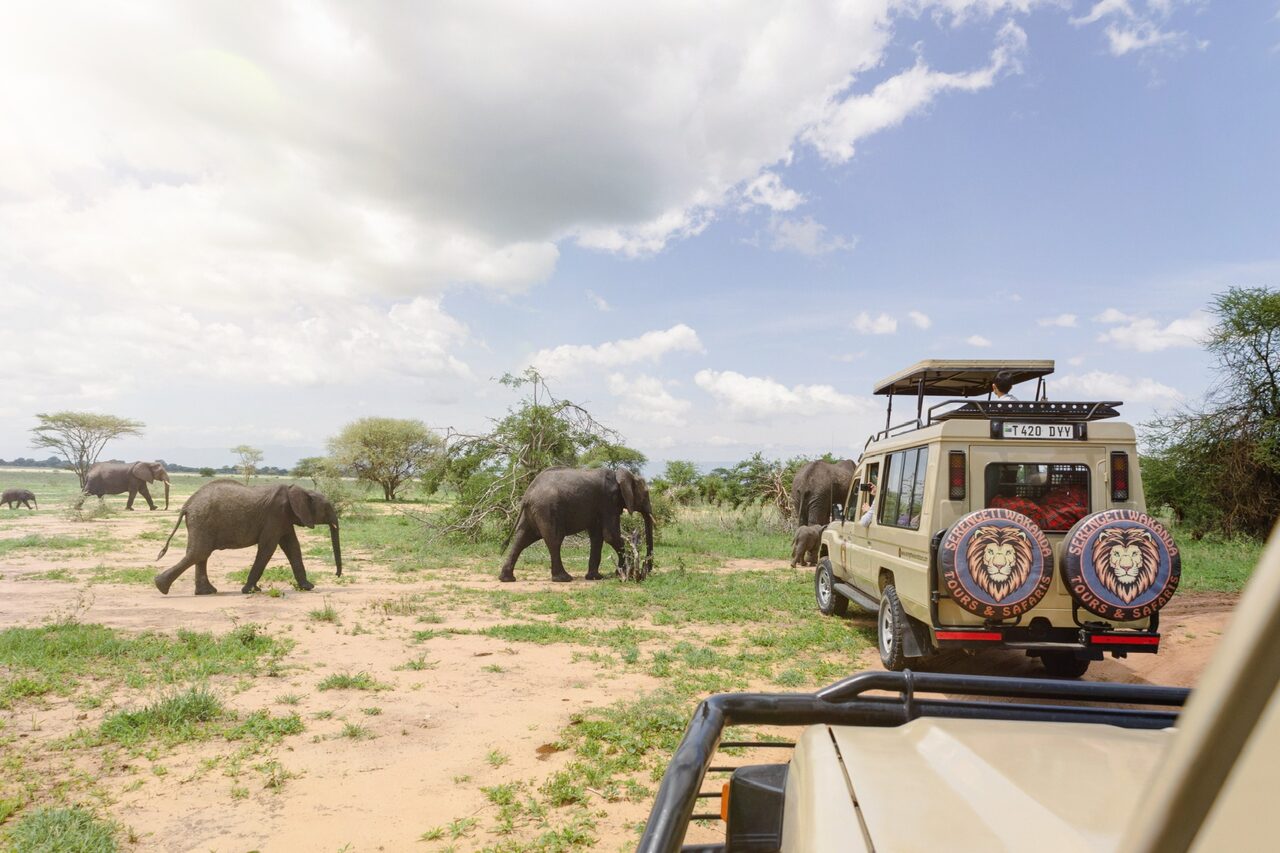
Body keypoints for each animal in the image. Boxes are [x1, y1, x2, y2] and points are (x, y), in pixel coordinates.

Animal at [153, 479, 341, 596]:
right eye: (327, 508)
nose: (337, 575)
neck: (297, 489)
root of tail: (187, 505)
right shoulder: (276, 515)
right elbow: (268, 548)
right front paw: (251, 590)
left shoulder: (284, 519)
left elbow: (293, 547)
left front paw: (308, 587)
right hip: (202, 520)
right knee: (199, 553)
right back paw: (161, 587)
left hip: (200, 522)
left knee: (200, 554)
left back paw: (205, 592)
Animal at [499, 467, 654, 583]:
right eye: (646, 494)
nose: (648, 569)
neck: (622, 475)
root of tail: (527, 494)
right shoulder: (608, 502)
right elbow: (610, 535)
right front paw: (620, 572)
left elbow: (597, 538)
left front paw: (595, 577)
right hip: (547, 509)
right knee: (554, 541)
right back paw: (564, 579)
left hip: (532, 513)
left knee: (521, 539)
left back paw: (507, 579)